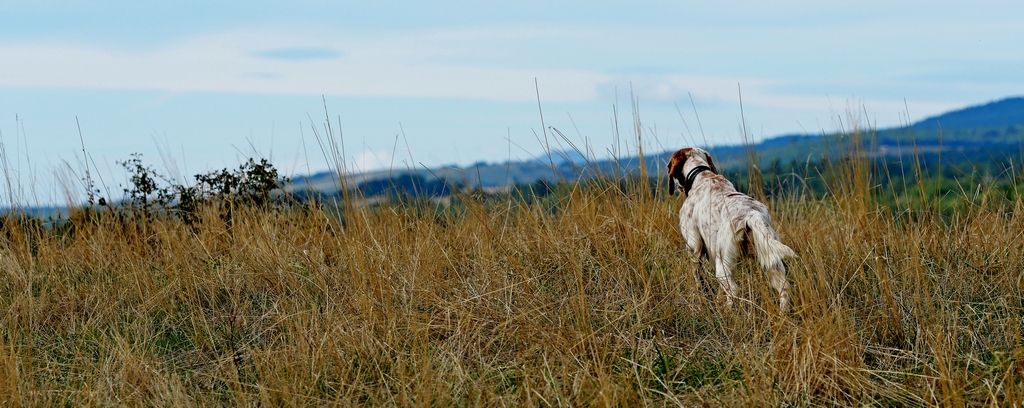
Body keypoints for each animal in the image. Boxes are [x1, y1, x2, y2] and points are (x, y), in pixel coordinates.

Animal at [667, 146, 794, 309]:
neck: (701, 175)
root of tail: (751, 215)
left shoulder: (694, 247)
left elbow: (698, 278)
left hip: (722, 263)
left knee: (733, 291)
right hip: (770, 258)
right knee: (784, 288)